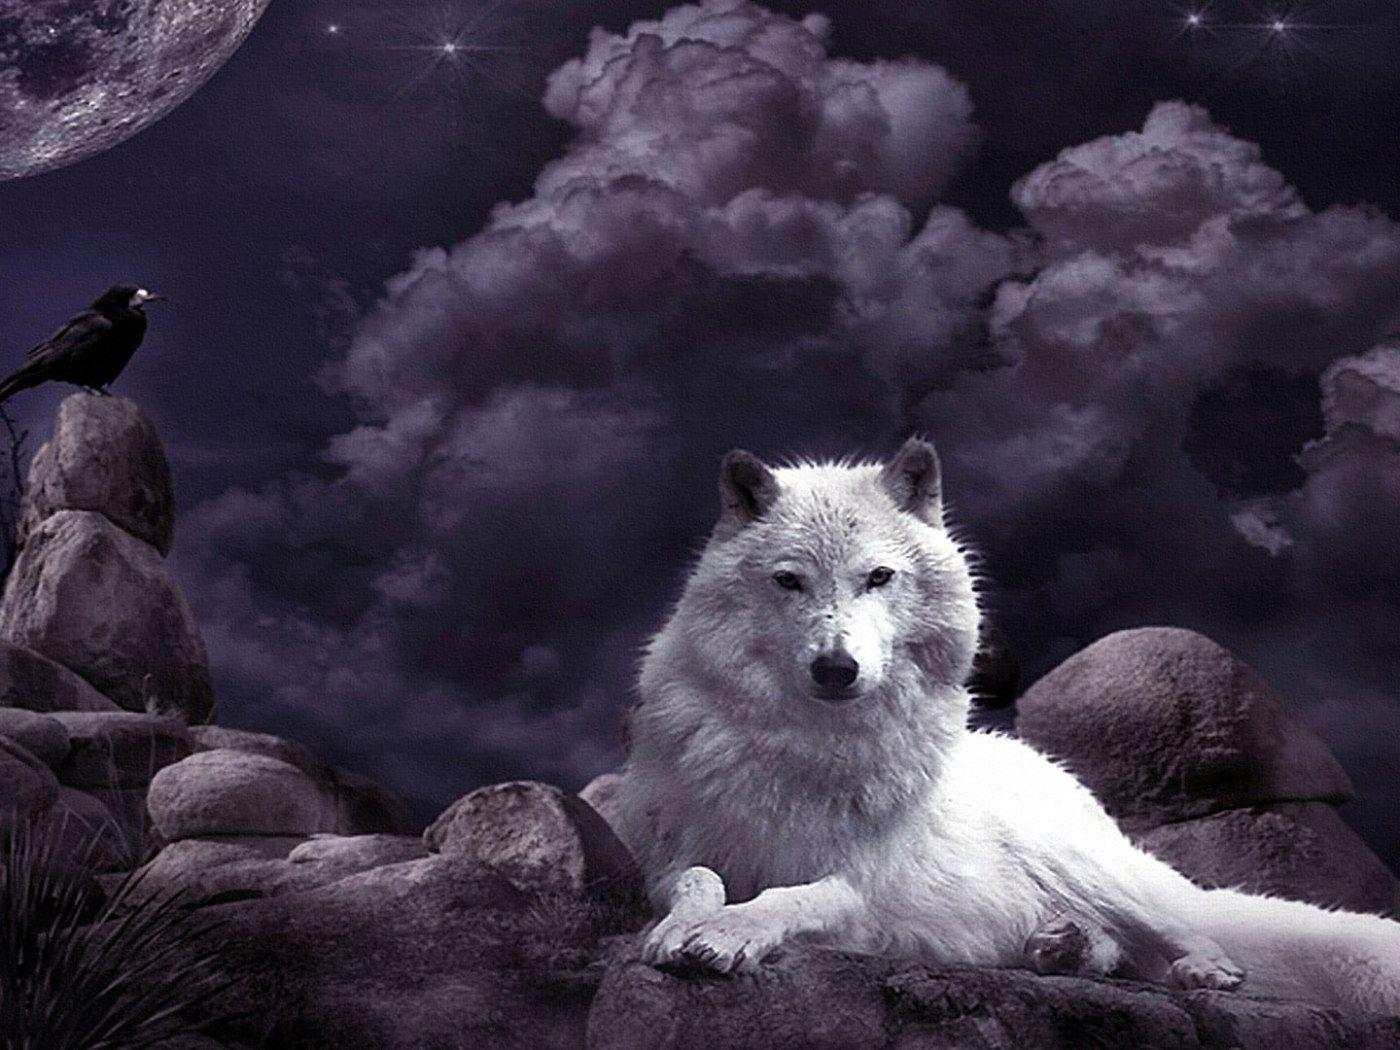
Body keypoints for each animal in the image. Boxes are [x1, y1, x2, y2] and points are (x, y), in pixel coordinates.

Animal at [610, 438, 1400, 1014]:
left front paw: (728, 935)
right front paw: (684, 928)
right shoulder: (674, 854)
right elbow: (699, 882)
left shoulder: (864, 886)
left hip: (1085, 863)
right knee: (1116, 949)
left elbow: (789, 895)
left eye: (878, 578)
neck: (807, 747)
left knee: (1177, 926)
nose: (837, 668)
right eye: (788, 581)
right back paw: (1059, 947)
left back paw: (1202, 968)